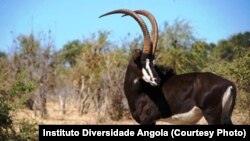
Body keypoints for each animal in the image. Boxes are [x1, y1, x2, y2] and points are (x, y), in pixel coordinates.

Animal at [99, 8, 236, 124]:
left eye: (152, 62)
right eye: (143, 62)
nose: (157, 80)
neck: (141, 91)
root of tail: (229, 84)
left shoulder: (148, 120)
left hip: (212, 115)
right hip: (225, 116)